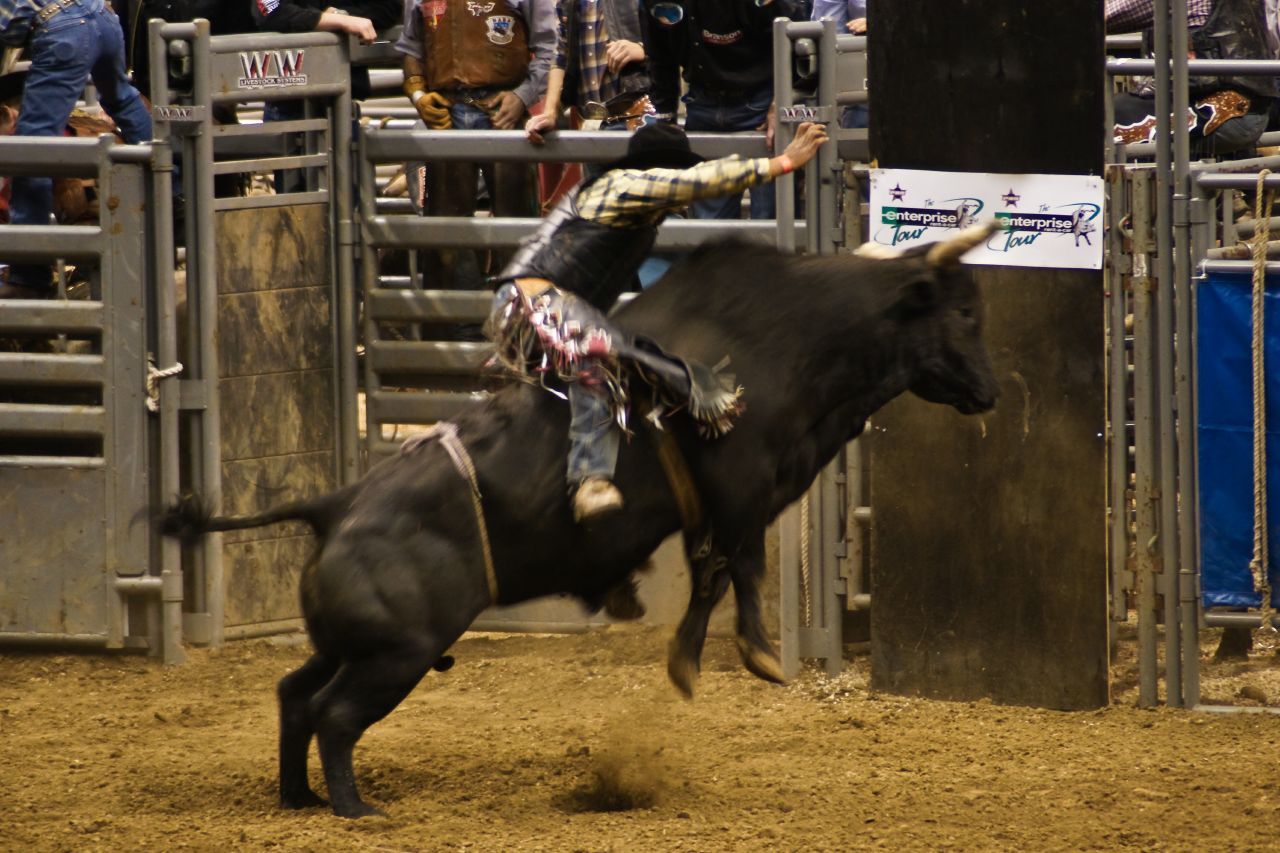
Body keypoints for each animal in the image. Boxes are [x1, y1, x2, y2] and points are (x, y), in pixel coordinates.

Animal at [160, 225, 998, 819]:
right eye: (963, 314)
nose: (990, 390)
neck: (796, 328)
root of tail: (335, 505)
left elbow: (711, 569)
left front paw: (686, 662)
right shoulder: (744, 475)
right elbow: (743, 560)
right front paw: (759, 653)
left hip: (348, 642)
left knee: (295, 694)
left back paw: (297, 796)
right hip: (396, 651)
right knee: (333, 714)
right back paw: (355, 807)